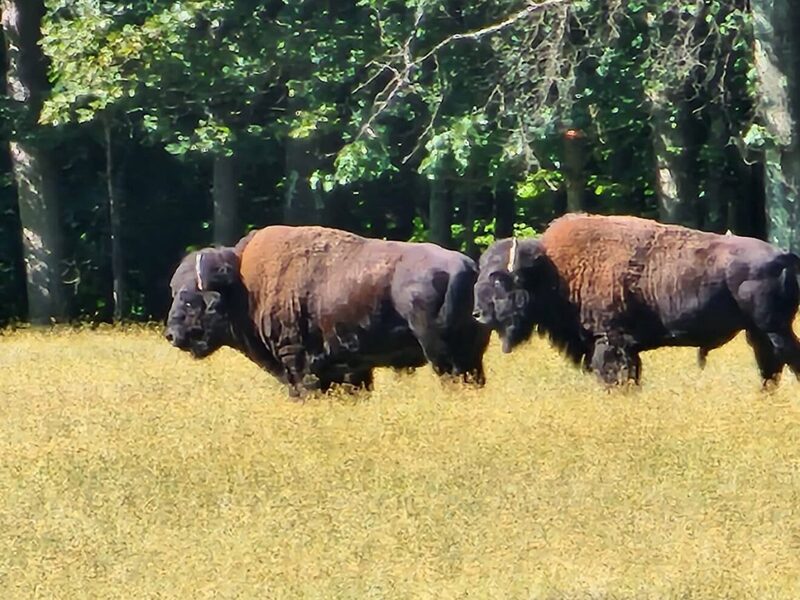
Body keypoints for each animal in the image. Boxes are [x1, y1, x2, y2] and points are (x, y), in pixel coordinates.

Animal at [165, 225, 490, 396]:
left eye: (189, 297)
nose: (171, 334)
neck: (244, 285)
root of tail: (468, 267)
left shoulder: (296, 362)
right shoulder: (351, 371)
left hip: (444, 357)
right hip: (470, 357)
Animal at [473, 213, 800, 387]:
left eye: (499, 280)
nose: (478, 314)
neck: (555, 270)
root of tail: (784, 255)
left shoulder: (610, 341)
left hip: (773, 328)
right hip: (758, 333)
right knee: (770, 368)